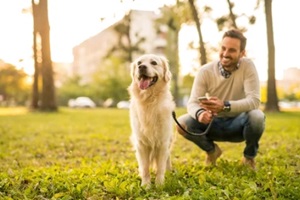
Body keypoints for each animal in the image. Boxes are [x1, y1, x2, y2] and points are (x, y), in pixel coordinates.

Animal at [127, 54, 176, 187]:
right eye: (139, 63)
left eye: (154, 63)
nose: (141, 67)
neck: (149, 100)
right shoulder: (141, 143)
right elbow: (145, 168)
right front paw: (146, 185)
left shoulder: (163, 142)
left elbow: (160, 167)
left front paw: (159, 185)